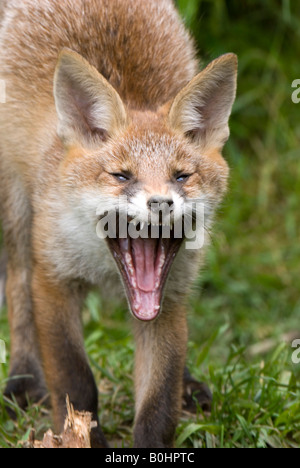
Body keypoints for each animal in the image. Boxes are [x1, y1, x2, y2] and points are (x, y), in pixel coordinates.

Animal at [0, 0, 237, 448]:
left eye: (182, 176)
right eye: (122, 176)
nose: (161, 203)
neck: (105, 271)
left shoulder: (169, 298)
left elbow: (159, 402)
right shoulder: (53, 279)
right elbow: (76, 381)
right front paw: (80, 433)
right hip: (16, 209)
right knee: (16, 282)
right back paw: (22, 377)